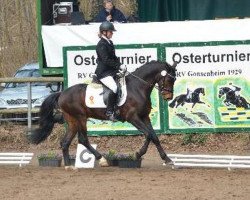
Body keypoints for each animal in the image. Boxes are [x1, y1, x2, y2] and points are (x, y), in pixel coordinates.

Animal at [28, 60, 178, 168]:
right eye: (169, 79)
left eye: (174, 79)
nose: (168, 97)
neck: (138, 88)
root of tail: (62, 93)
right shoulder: (133, 118)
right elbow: (149, 134)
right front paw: (137, 155)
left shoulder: (144, 117)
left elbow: (153, 136)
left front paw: (167, 159)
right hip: (80, 118)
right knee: (83, 140)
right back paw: (102, 160)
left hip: (72, 120)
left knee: (65, 142)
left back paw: (69, 166)